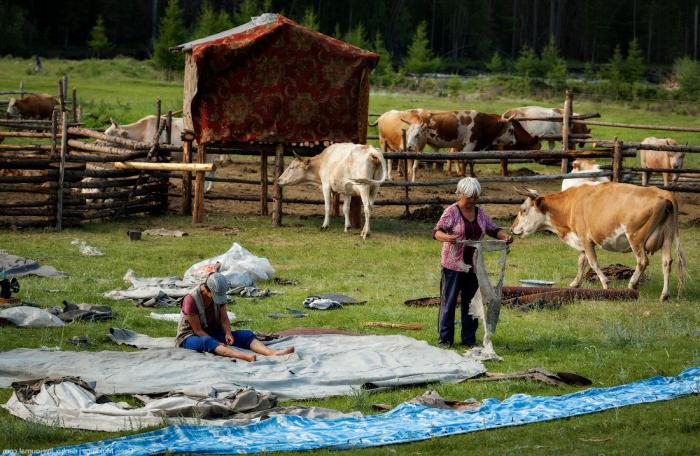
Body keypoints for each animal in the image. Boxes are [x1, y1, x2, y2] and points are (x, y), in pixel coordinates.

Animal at [508, 183, 684, 302]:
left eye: (523, 210)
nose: (512, 228)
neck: (570, 204)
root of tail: (664, 194)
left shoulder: (586, 238)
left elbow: (592, 262)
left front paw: (606, 284)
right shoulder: (581, 241)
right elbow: (581, 262)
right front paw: (575, 283)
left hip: (635, 237)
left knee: (642, 261)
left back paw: (631, 285)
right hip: (667, 236)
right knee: (667, 262)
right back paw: (665, 295)